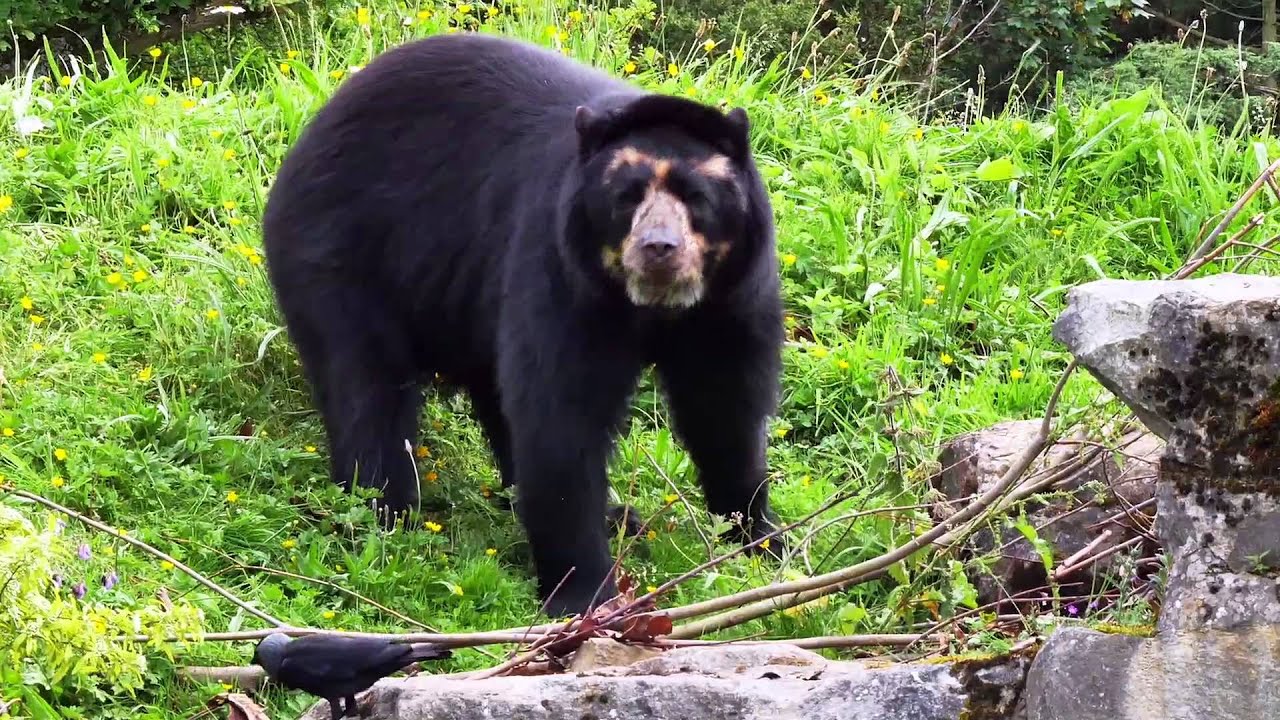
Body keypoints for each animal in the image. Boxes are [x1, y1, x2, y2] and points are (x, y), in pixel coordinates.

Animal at [260, 31, 786, 617]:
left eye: (696, 198)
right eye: (626, 198)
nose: (658, 249)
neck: (652, 307)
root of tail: (308, 136)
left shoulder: (731, 300)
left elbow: (726, 408)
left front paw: (761, 538)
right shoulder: (559, 272)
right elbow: (559, 418)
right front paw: (584, 595)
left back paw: (615, 515)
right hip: (341, 256)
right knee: (365, 388)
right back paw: (385, 514)